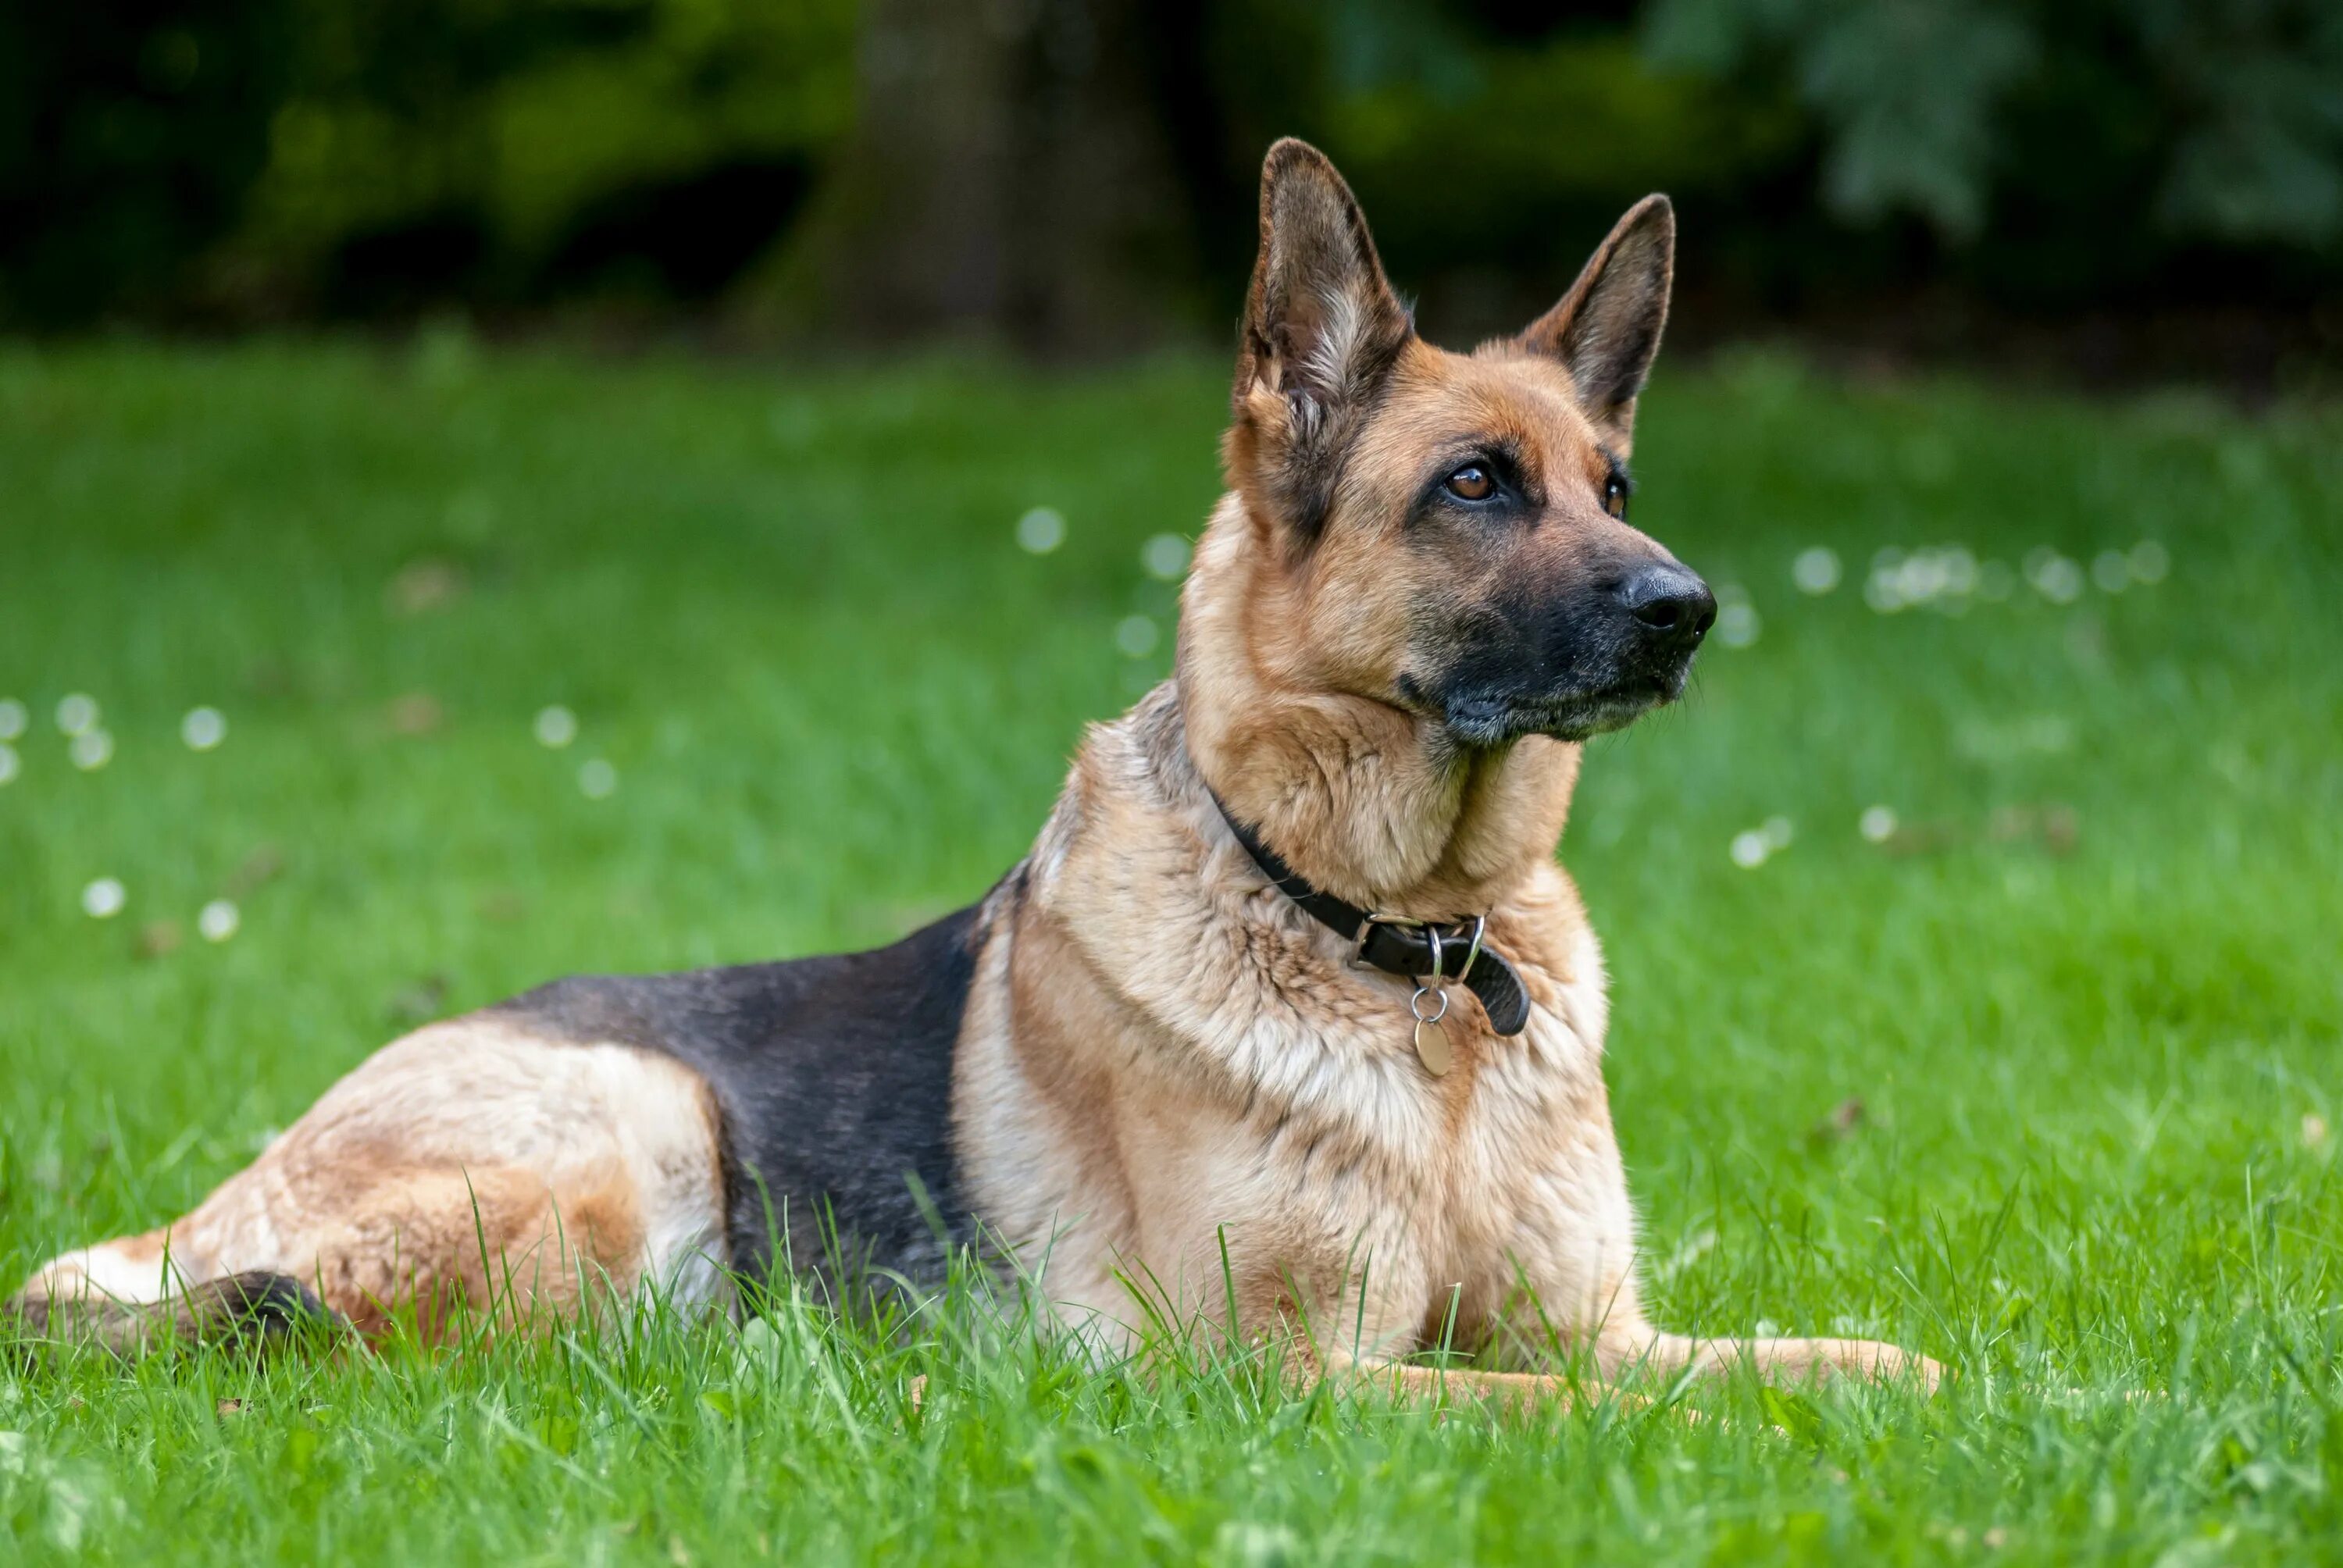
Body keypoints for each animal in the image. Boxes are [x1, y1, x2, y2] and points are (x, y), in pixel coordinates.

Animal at [4, 143, 1940, 1396]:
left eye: (1612, 487)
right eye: (1476, 485)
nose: (1689, 610)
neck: (1415, 958)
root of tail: (189, 1217)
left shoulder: (1603, 1321)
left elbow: (1859, 1366)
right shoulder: (1282, 1381)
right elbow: (1568, 1413)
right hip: (633, 1126)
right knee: (367, 1341)